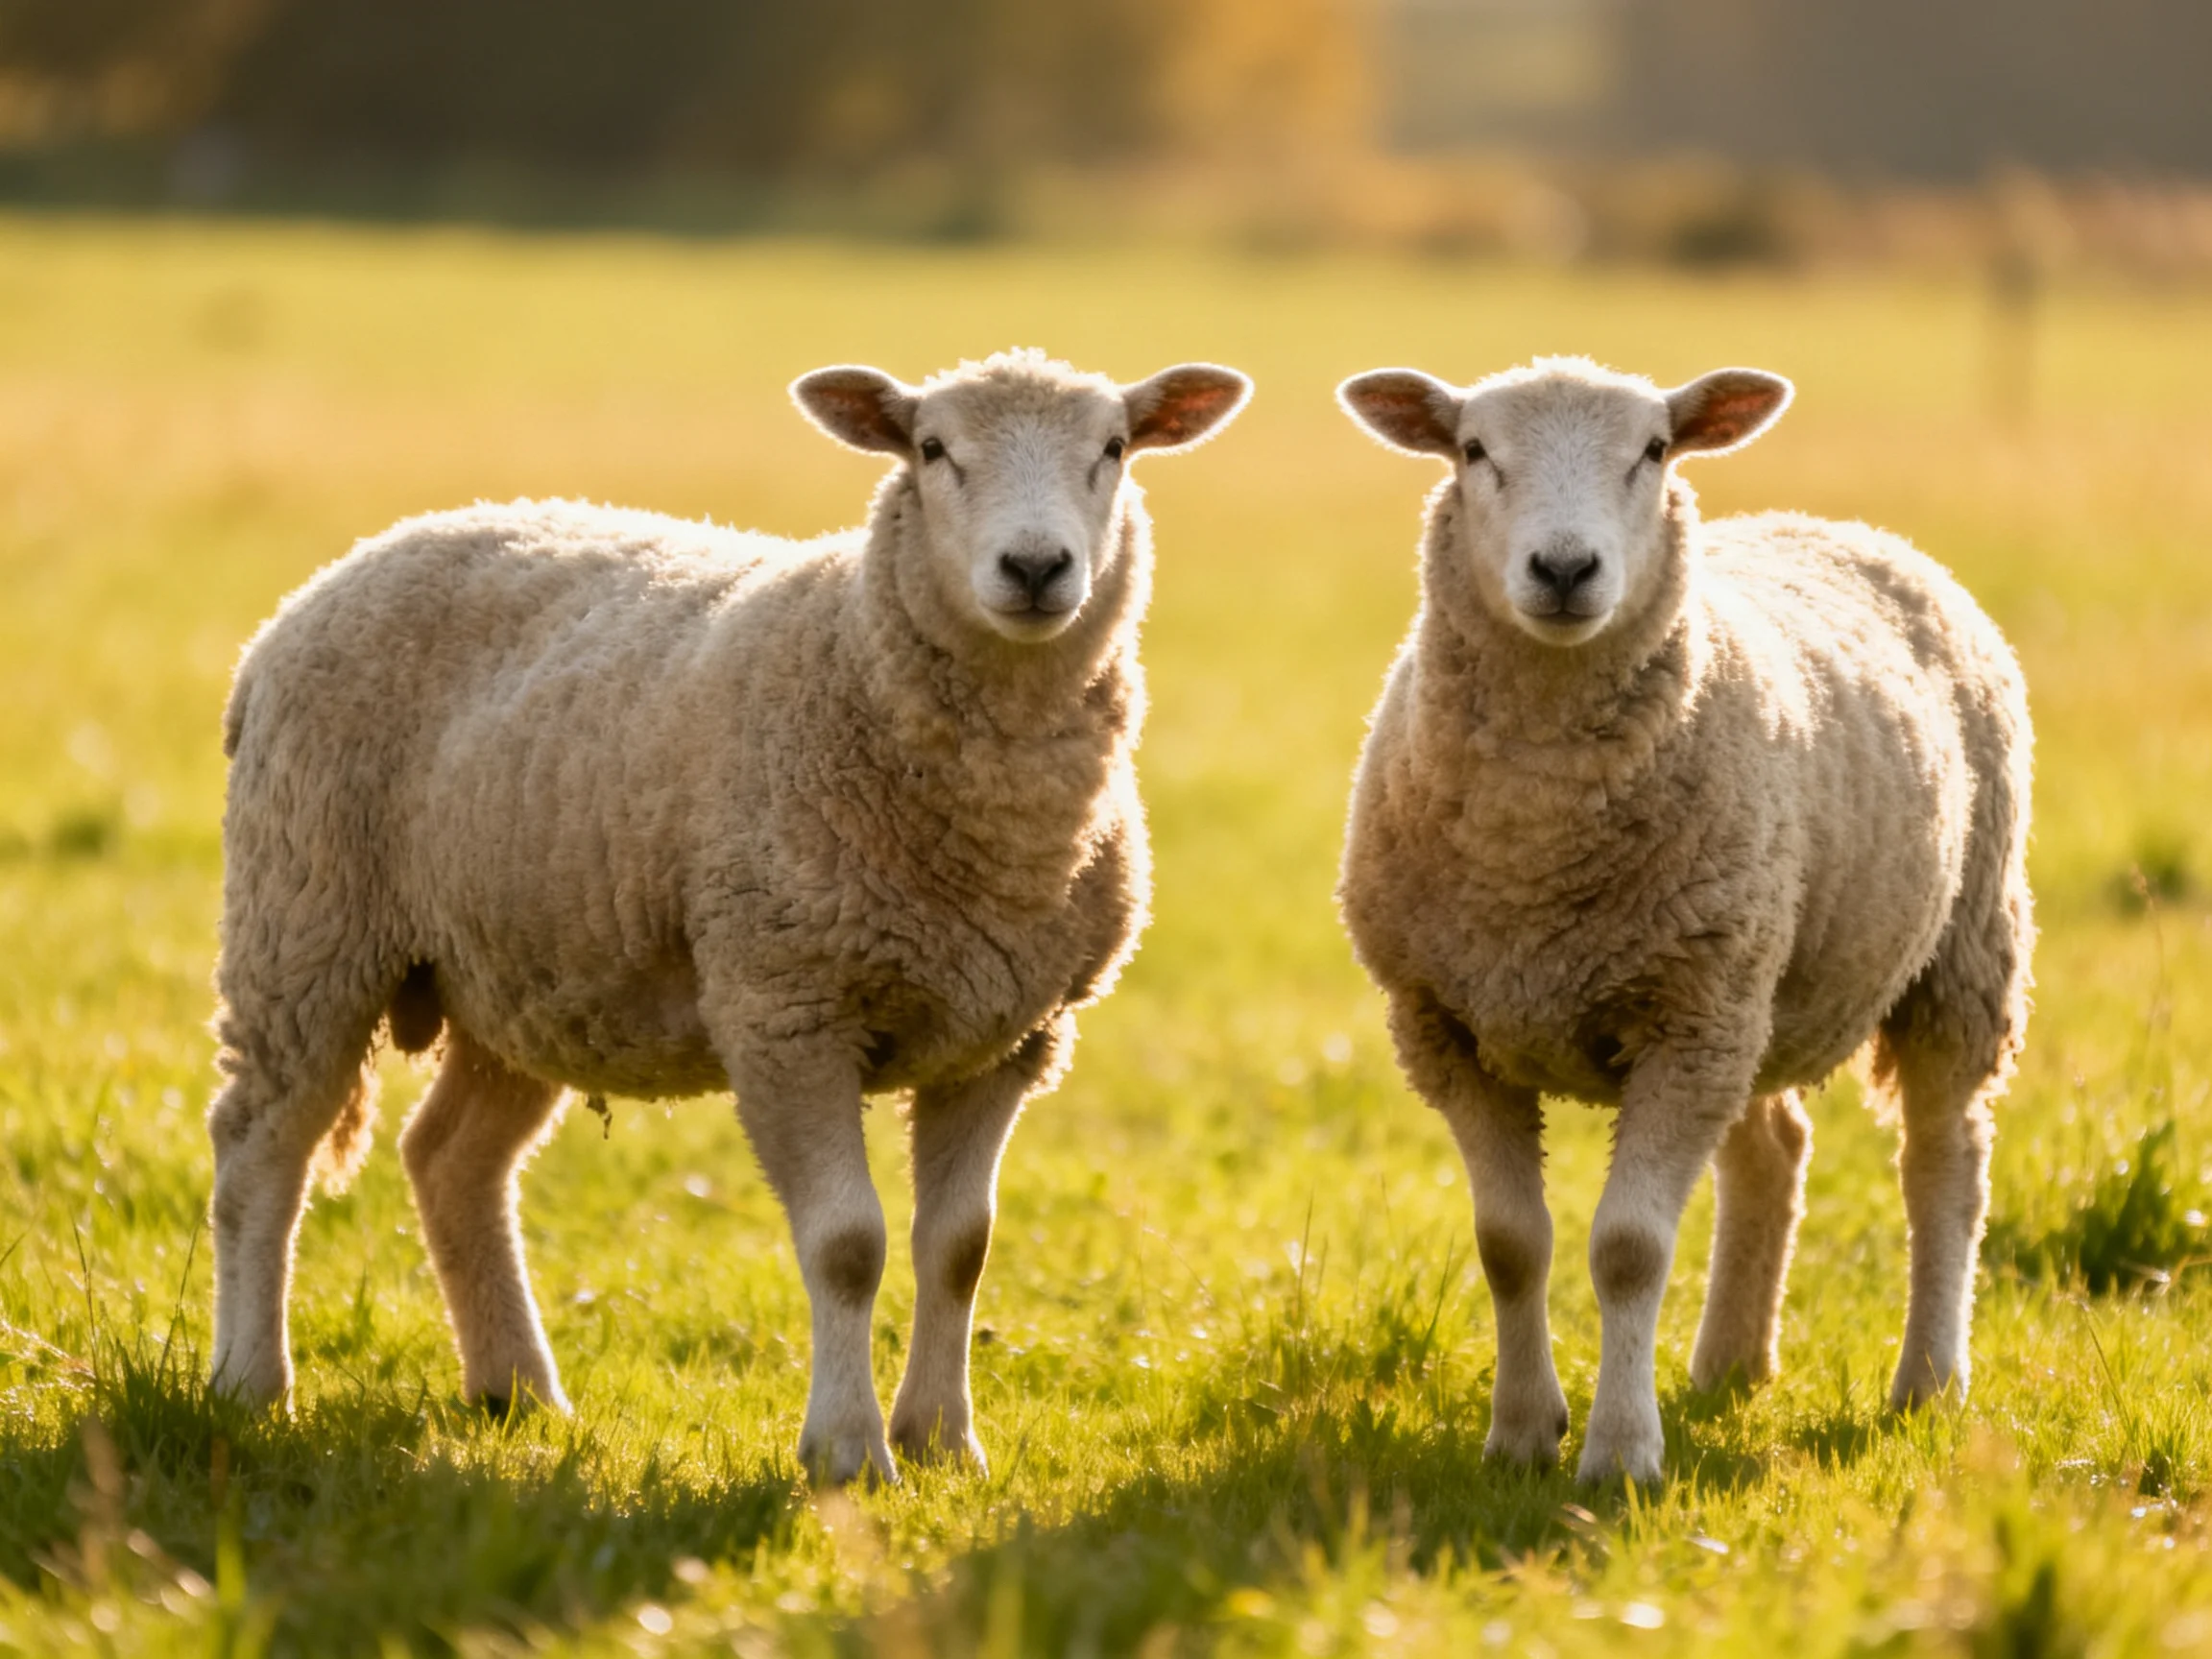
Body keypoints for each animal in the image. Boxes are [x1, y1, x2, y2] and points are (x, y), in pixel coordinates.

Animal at [205, 348, 1251, 1485]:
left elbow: (959, 1247)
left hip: (520, 971)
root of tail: (311, 594)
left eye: (1114, 448)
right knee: (260, 1146)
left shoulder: (1011, 1036)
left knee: (451, 1159)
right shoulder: (785, 1008)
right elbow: (849, 1245)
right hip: (306, 920)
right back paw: (250, 1385)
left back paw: (517, 1392)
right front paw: (848, 1453)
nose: (1035, 567)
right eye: (932, 449)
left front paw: (943, 1442)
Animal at [1335, 355, 2032, 1484]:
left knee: (1944, 1164)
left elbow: (1629, 1250)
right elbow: (1509, 1244)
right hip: (1752, 982)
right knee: (1774, 1149)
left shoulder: (1682, 1024)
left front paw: (1620, 1454)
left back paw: (1927, 1380)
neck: (1532, 846)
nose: (1564, 567)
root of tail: (1831, 523)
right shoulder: (1450, 1027)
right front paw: (1521, 1435)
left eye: (1654, 451)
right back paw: (1731, 1364)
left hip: (1954, 955)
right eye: (1474, 451)